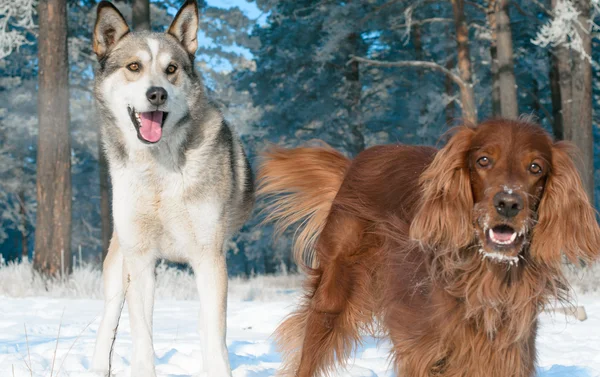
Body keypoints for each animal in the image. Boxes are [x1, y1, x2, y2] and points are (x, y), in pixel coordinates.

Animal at [258, 119, 600, 376]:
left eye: (535, 168)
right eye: (483, 160)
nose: (508, 204)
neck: (483, 273)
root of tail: (357, 160)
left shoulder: (507, 353)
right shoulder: (422, 352)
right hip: (332, 296)